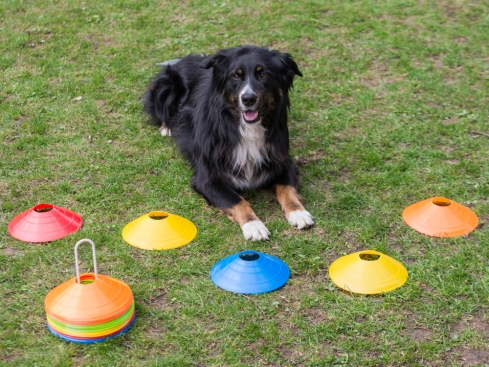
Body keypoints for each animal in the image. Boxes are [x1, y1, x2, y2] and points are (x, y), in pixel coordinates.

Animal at [143, 45, 314, 242]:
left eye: (264, 75)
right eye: (235, 76)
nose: (248, 99)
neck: (245, 128)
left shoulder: (283, 160)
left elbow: (287, 188)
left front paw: (298, 213)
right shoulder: (207, 179)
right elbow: (237, 200)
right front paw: (254, 225)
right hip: (167, 89)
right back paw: (168, 128)